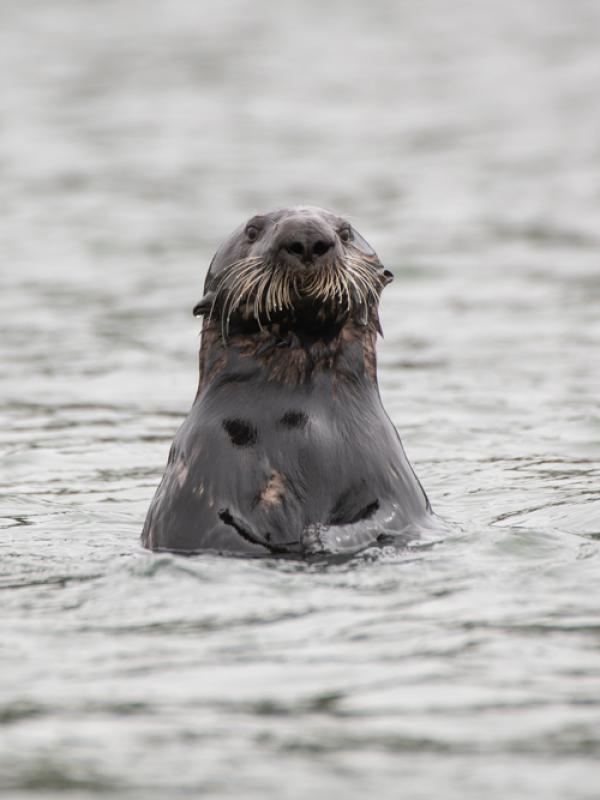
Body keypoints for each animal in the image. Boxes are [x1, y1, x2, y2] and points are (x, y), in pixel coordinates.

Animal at [141, 206, 435, 557]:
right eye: (252, 231)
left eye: (346, 232)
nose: (307, 237)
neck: (303, 418)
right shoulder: (195, 479)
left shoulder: (395, 479)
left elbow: (390, 517)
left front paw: (318, 536)